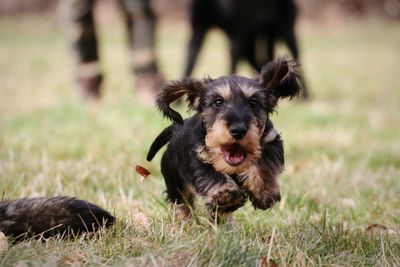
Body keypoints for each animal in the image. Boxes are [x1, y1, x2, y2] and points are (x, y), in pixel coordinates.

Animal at [147, 56, 300, 220]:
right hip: (175, 182)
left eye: (253, 102)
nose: (238, 130)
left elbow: (264, 163)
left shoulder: (270, 140)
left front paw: (263, 192)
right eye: (218, 102)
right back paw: (186, 221)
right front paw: (226, 197)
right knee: (182, 203)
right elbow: (210, 174)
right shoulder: (199, 156)